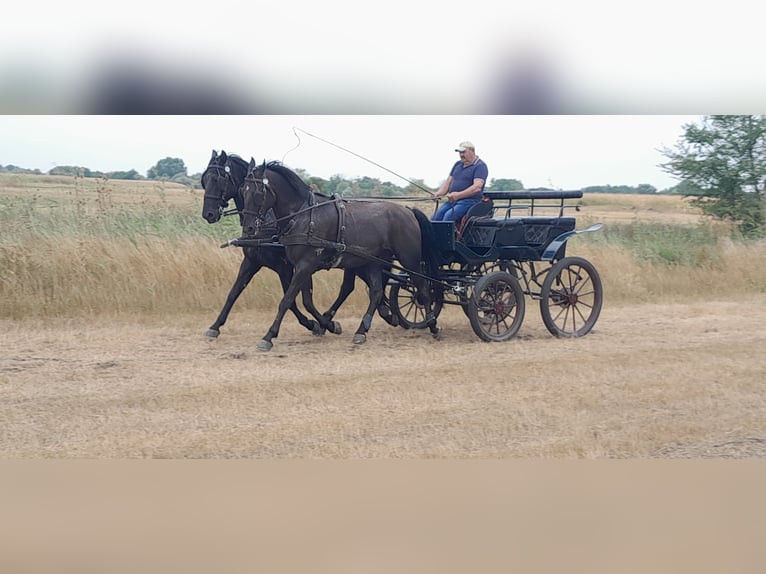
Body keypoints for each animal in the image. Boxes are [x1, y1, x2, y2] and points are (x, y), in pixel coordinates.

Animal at [240, 160, 444, 354]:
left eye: (258, 192)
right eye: (243, 190)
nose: (248, 228)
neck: (304, 215)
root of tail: (408, 210)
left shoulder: (305, 265)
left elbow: (287, 300)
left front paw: (268, 337)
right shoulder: (301, 267)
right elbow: (306, 301)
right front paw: (327, 325)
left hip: (409, 259)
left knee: (423, 289)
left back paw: (433, 326)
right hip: (373, 262)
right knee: (377, 291)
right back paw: (362, 331)